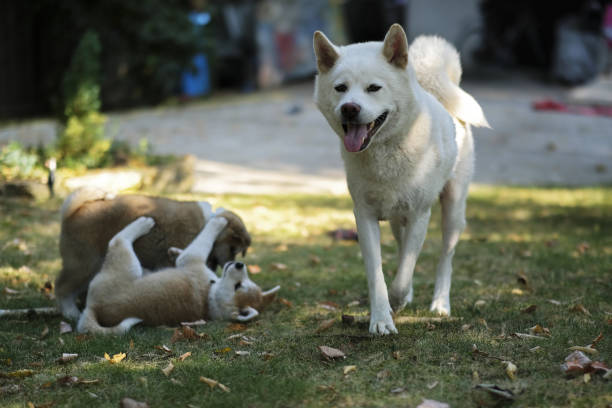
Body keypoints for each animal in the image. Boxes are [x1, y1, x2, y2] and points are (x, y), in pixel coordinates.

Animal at [55, 186, 251, 320]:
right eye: (233, 249)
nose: (231, 263)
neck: (205, 221)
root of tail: (73, 212)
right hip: (84, 264)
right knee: (62, 288)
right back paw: (70, 311)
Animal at [314, 23, 490, 334]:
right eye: (340, 88)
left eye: (374, 88)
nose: (349, 108)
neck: (386, 150)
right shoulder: (364, 216)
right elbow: (378, 275)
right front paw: (381, 319)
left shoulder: (420, 214)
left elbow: (404, 273)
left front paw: (398, 299)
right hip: (398, 219)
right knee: (401, 244)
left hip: (453, 210)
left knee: (445, 257)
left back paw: (440, 303)